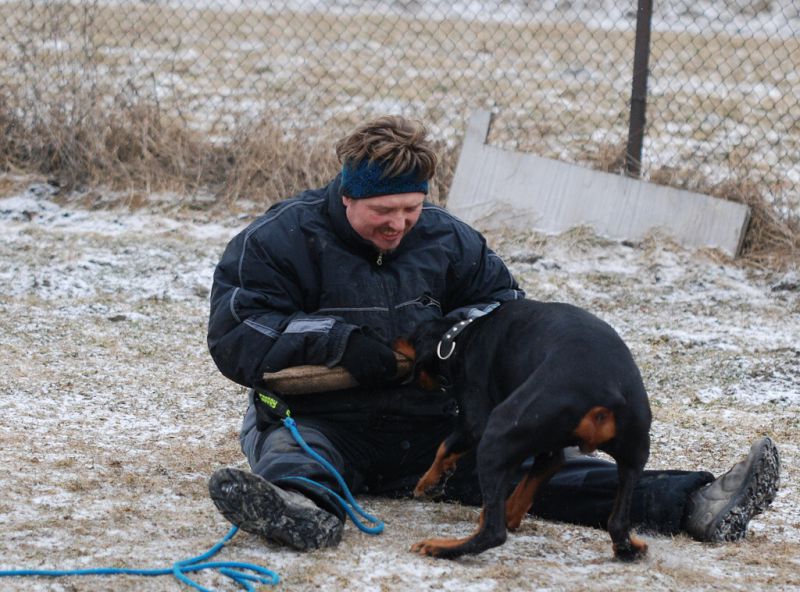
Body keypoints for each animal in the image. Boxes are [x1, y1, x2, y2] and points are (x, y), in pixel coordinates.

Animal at [394, 299, 651, 561]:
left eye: (412, 333)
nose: (394, 339)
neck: (460, 336)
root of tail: (607, 393)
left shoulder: (474, 422)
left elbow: (444, 446)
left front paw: (427, 484)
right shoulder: (549, 453)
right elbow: (532, 481)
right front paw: (508, 513)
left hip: (498, 432)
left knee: (494, 533)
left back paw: (439, 546)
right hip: (635, 453)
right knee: (617, 523)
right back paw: (631, 547)